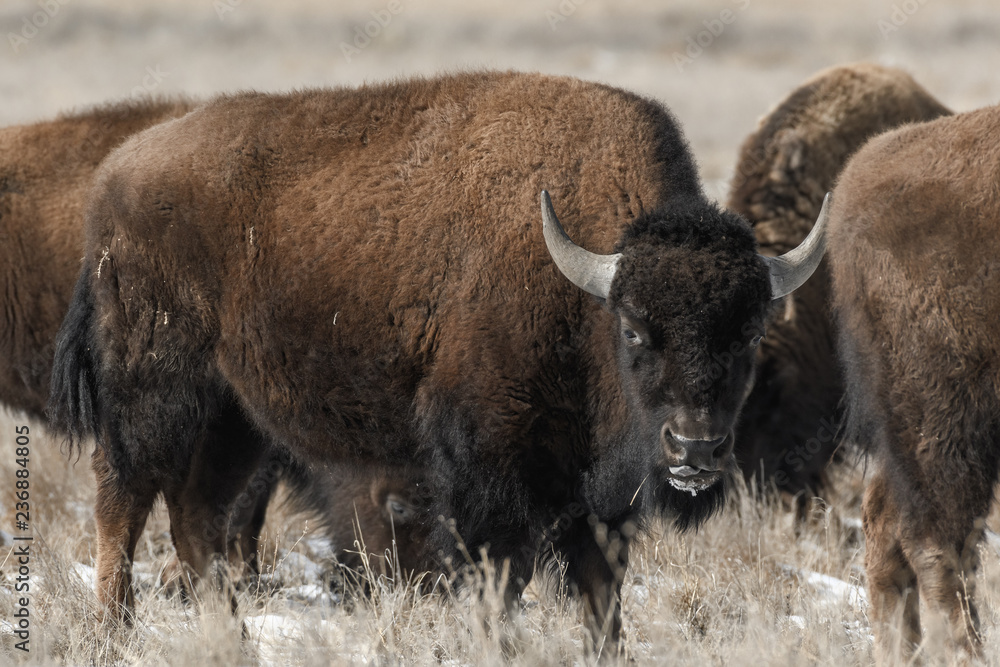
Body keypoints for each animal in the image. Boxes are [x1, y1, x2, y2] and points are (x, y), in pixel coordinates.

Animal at [47, 69, 824, 648]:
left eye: (749, 331)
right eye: (635, 330)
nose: (695, 448)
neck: (583, 288)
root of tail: (116, 175)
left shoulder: (598, 503)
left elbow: (602, 599)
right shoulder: (490, 476)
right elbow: (500, 583)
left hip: (237, 417)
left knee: (197, 517)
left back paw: (229, 640)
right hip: (154, 392)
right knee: (123, 499)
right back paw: (114, 632)